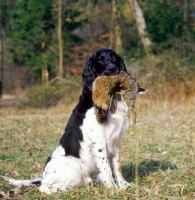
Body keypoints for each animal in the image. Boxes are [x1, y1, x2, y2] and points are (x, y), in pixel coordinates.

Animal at [4, 48, 145, 194]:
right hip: (72, 168)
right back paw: (64, 189)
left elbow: (116, 166)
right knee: (44, 187)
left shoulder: (115, 140)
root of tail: (43, 176)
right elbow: (106, 167)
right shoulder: (99, 140)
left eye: (114, 57)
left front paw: (123, 185)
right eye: (100, 59)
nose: (112, 69)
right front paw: (112, 188)